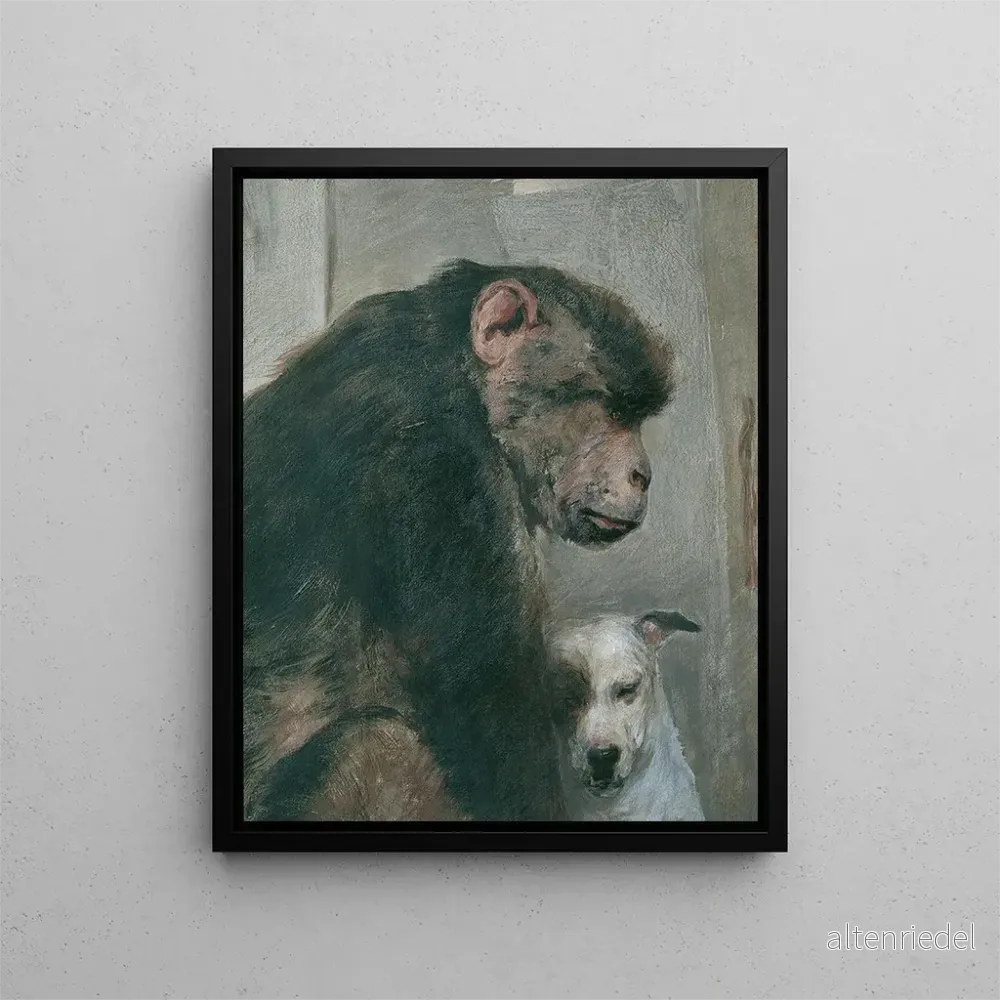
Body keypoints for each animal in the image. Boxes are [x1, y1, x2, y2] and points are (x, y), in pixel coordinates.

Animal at [242, 259, 676, 822]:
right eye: (611, 407)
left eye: (636, 413)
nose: (642, 475)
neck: (466, 381)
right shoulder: (440, 464)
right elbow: (491, 709)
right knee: (381, 742)